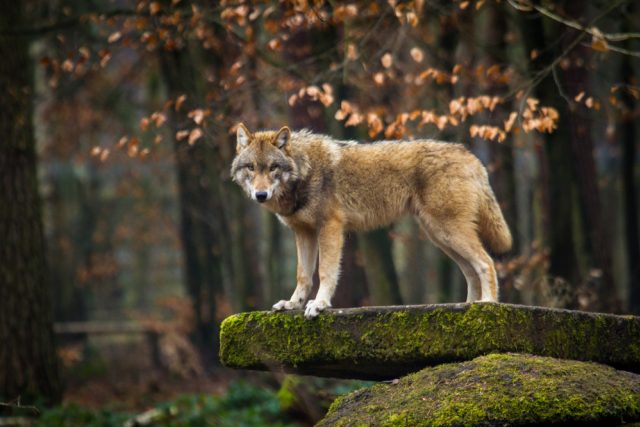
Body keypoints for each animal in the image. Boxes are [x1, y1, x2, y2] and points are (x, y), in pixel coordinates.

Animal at [230, 123, 510, 318]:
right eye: (251, 167)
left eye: (273, 168)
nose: (261, 195)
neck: (304, 170)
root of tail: (470, 156)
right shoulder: (303, 233)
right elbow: (303, 275)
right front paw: (292, 304)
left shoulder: (330, 228)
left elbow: (325, 272)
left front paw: (319, 304)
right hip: (440, 236)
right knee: (470, 270)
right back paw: (468, 306)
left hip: (448, 232)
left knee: (486, 263)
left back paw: (488, 304)